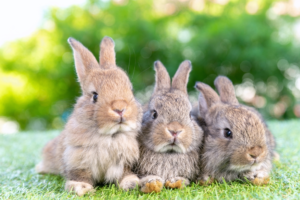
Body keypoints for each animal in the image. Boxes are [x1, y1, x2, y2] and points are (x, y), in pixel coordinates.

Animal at [35, 36, 143, 196]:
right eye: (95, 96)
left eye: (131, 91)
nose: (120, 109)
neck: (109, 135)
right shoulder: (77, 159)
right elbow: (80, 175)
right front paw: (82, 188)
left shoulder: (123, 163)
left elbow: (124, 175)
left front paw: (132, 184)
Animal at [134, 60, 203, 193]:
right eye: (154, 114)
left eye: (189, 114)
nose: (175, 130)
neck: (169, 153)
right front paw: (152, 183)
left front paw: (176, 182)